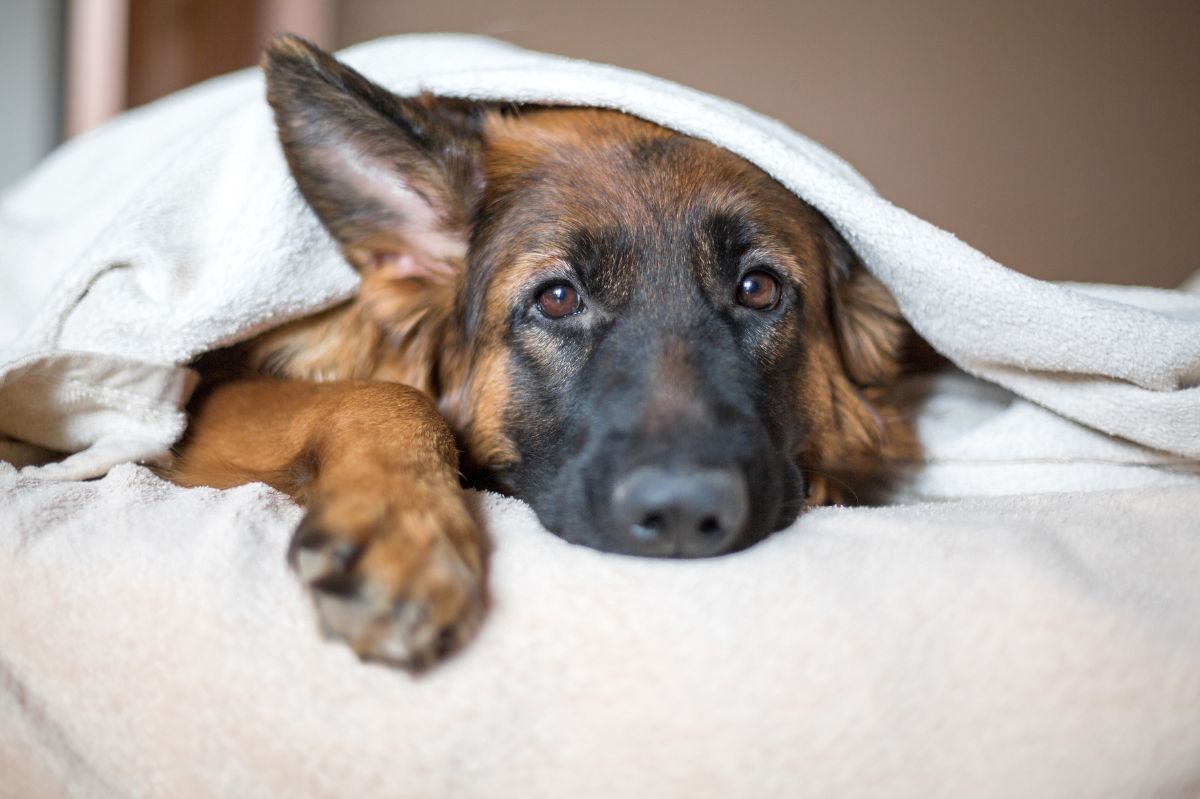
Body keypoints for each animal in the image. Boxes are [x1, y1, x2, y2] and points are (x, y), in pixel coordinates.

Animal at [166, 38, 916, 671]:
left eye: (758, 289)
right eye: (557, 298)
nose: (682, 514)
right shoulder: (203, 406)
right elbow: (386, 393)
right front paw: (403, 525)